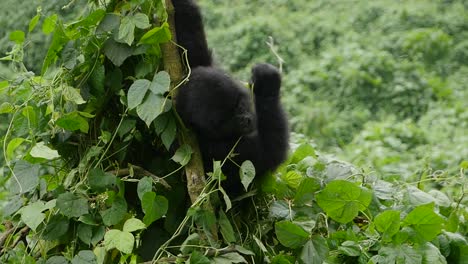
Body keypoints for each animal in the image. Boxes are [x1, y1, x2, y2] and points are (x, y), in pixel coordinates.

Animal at [173, 0, 288, 194]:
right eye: (226, 122)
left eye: (240, 106)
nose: (247, 121)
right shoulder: (220, 153)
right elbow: (268, 152)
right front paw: (267, 85)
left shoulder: (193, 70)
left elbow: (189, 40)